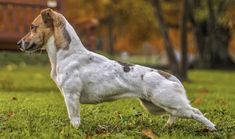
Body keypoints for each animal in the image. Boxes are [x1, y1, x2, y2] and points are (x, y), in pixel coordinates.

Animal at [17, 8, 217, 131]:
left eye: (33, 27)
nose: (19, 43)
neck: (67, 54)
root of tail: (169, 76)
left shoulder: (71, 96)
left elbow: (74, 119)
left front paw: (75, 130)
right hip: (154, 106)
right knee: (175, 114)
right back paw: (168, 126)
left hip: (167, 102)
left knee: (195, 112)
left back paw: (212, 128)